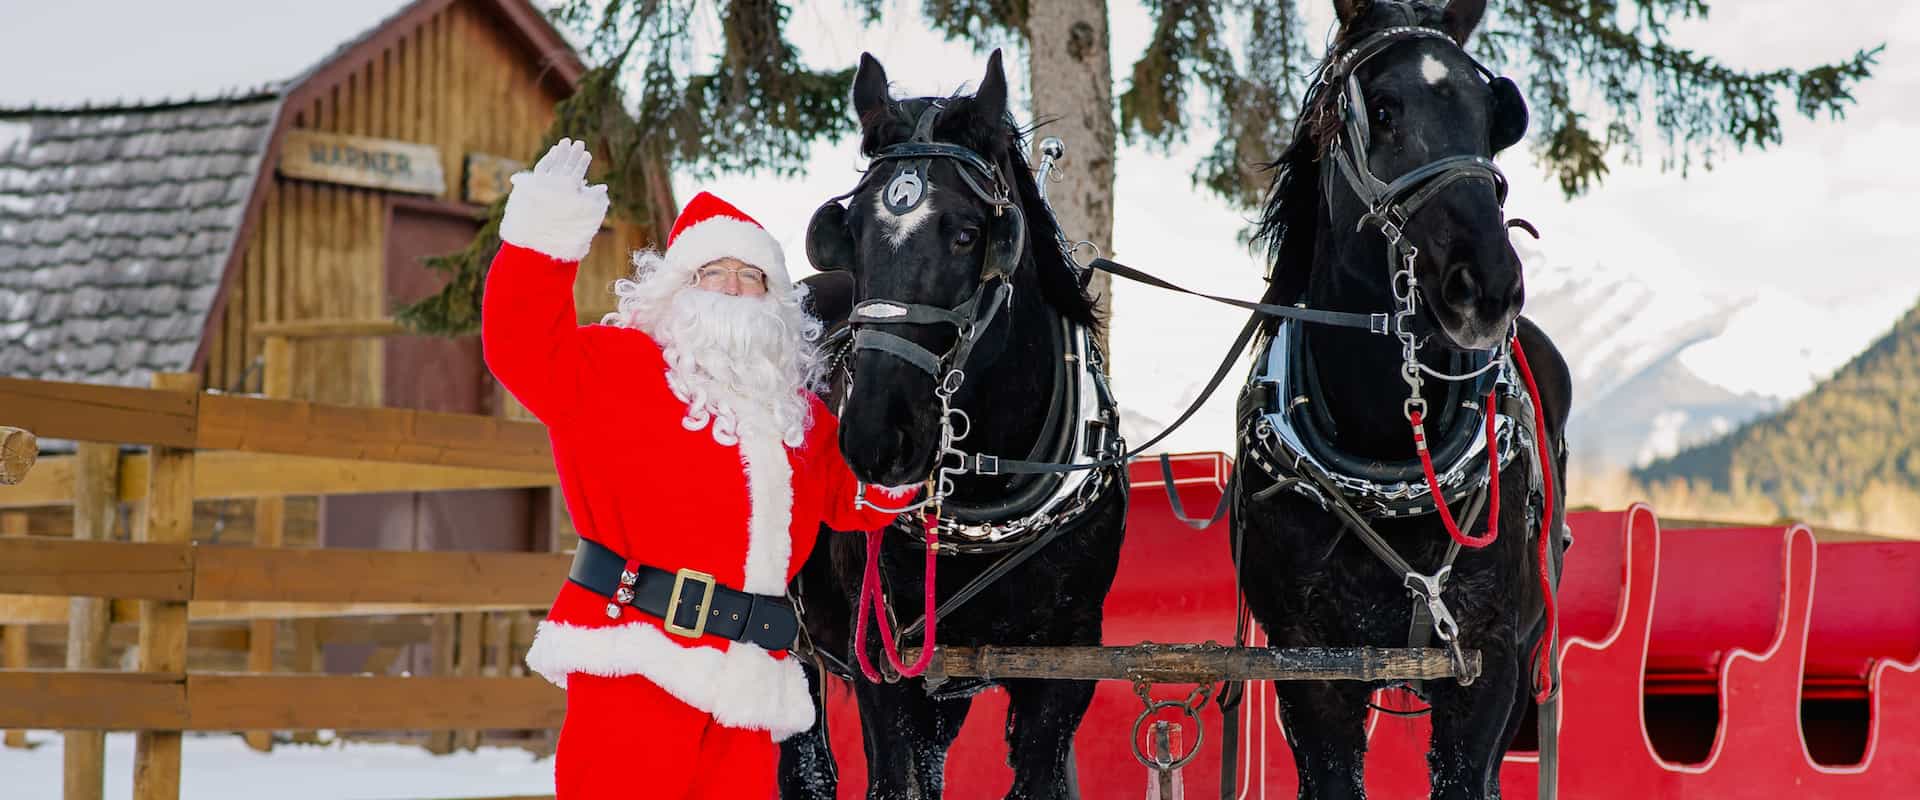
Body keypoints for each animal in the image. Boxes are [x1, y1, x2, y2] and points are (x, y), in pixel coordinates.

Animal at [779, 50, 1131, 800]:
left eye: (970, 234)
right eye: (849, 233)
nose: (876, 438)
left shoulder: (1064, 667)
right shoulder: (883, 661)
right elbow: (890, 779)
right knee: (809, 770)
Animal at [1230, 0, 1574, 797]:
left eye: (1495, 117)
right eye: (1381, 109)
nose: (1487, 285)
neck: (1389, 449)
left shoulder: (1489, 663)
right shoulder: (1308, 664)